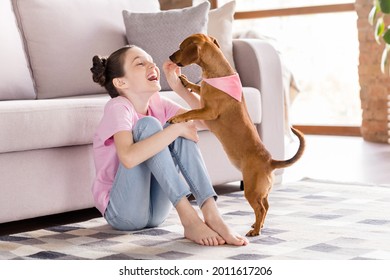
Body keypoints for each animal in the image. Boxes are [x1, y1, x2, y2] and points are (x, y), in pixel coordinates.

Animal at [169, 33, 306, 236]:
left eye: (180, 47)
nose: (170, 57)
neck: (219, 74)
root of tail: (270, 162)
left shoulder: (208, 111)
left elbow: (190, 112)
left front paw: (177, 117)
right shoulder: (204, 95)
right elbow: (197, 87)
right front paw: (186, 82)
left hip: (250, 189)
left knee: (261, 208)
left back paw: (255, 230)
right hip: (261, 191)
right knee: (267, 205)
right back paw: (258, 225)